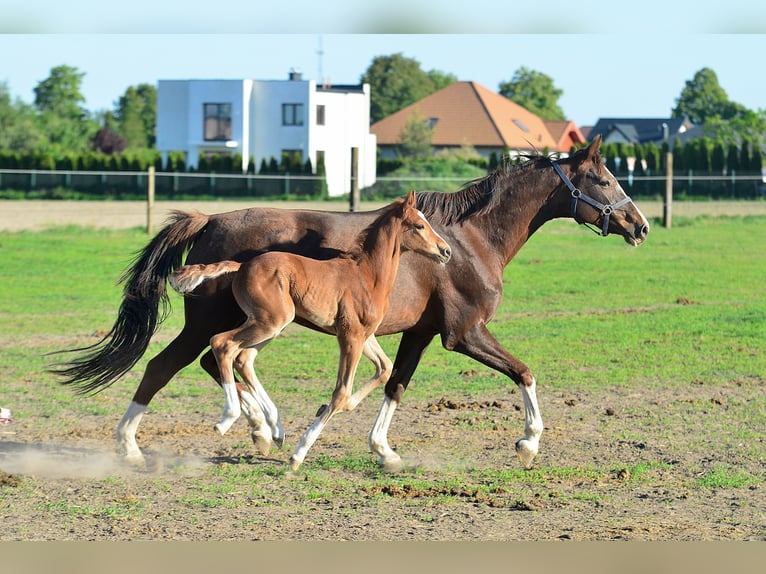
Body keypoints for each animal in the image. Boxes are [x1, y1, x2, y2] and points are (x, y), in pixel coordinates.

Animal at [55, 136, 656, 472]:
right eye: (604, 179)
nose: (640, 226)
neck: (468, 240)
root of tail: (210, 220)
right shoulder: (464, 333)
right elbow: (525, 372)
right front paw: (528, 443)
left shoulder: (418, 333)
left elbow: (394, 385)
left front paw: (383, 450)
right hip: (215, 321)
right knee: (173, 364)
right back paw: (139, 445)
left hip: (250, 322)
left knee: (217, 361)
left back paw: (263, 428)